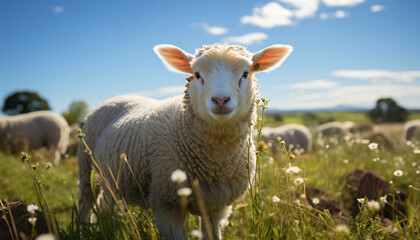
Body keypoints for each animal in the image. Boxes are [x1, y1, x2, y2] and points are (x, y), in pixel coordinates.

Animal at [76, 42, 292, 238]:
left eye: (246, 74)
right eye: (197, 74)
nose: (220, 100)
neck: (215, 164)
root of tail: (117, 97)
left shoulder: (217, 206)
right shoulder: (166, 203)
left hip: (112, 182)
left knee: (103, 207)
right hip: (86, 169)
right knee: (86, 205)